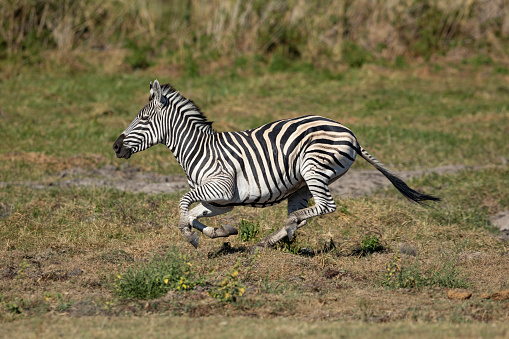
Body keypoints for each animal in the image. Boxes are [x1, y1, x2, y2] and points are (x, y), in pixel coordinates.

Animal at [113, 79, 438, 250]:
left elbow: (183, 203)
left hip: (312, 167)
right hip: (304, 183)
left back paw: (285, 227)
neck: (199, 149)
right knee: (311, 211)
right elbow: (194, 213)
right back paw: (271, 239)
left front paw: (189, 236)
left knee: (325, 207)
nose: (115, 146)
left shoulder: (221, 188)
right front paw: (220, 233)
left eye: (143, 119)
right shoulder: (221, 202)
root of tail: (350, 133)